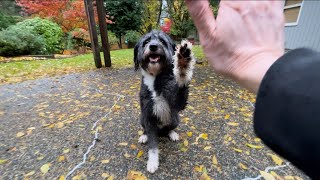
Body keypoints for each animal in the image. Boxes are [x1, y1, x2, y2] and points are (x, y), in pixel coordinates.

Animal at [133, 30, 195, 173]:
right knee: (146, 130)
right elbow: (152, 146)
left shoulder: (178, 103)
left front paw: (183, 62)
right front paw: (152, 162)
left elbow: (181, 82)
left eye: (162, 41)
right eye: (146, 41)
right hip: (142, 118)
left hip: (175, 118)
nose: (153, 46)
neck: (156, 78)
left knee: (169, 129)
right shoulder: (149, 116)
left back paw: (172, 134)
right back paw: (144, 136)